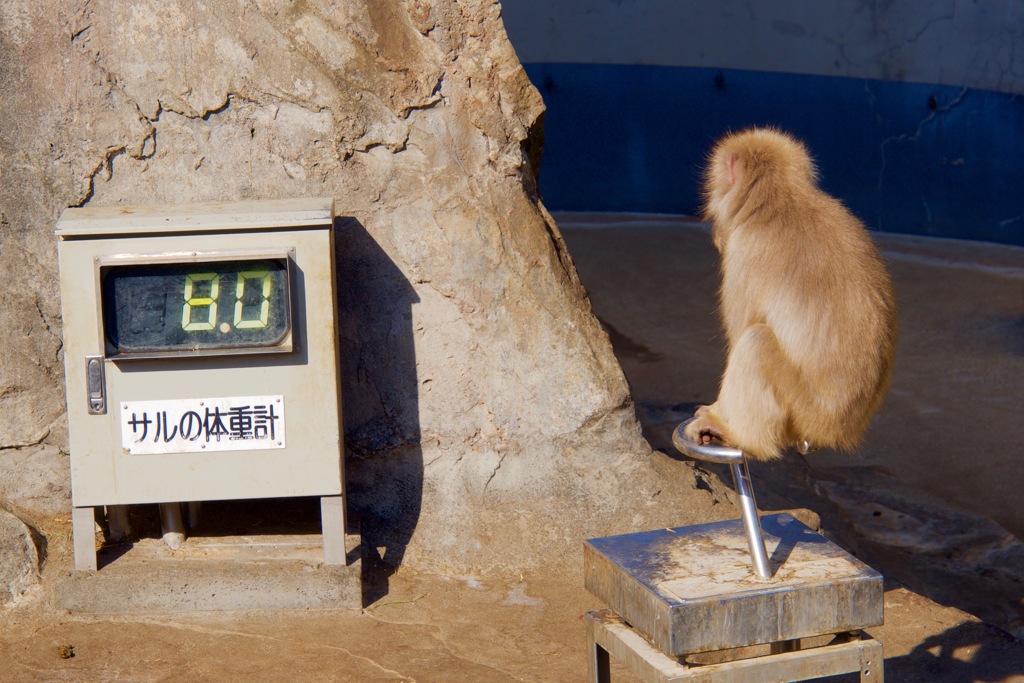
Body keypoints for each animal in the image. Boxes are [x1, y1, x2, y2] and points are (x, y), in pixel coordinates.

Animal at [688, 126, 897, 462]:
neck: (780, 201)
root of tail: (837, 431)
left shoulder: (745, 253)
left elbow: (740, 334)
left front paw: (718, 411)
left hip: (805, 411)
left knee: (756, 341)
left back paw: (745, 438)